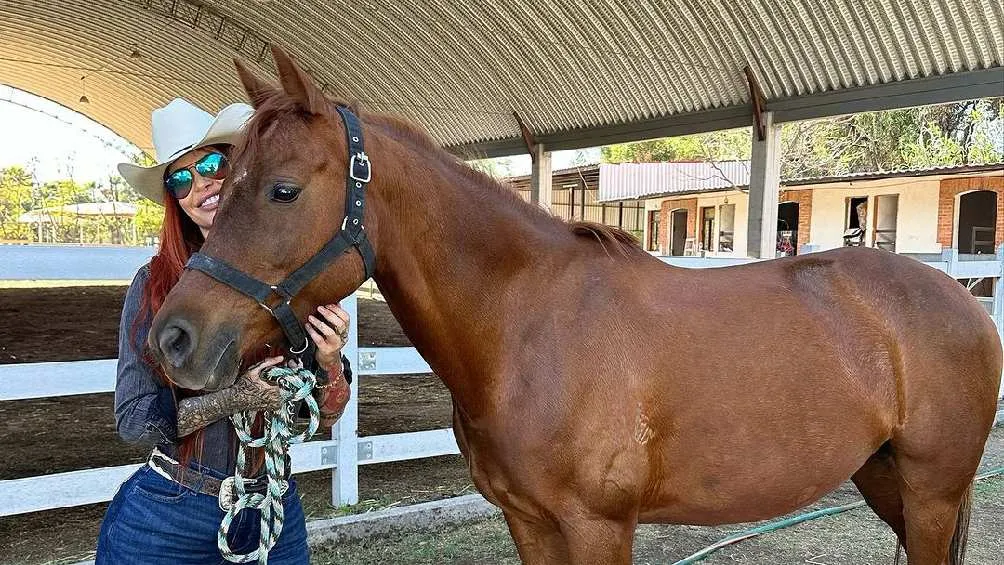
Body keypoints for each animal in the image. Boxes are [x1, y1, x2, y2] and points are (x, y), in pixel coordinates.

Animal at [149, 47, 1001, 565]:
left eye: (283, 189)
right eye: (225, 179)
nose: (172, 338)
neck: (527, 325)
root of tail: (964, 300)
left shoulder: (598, 526)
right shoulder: (529, 521)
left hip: (931, 493)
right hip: (888, 480)